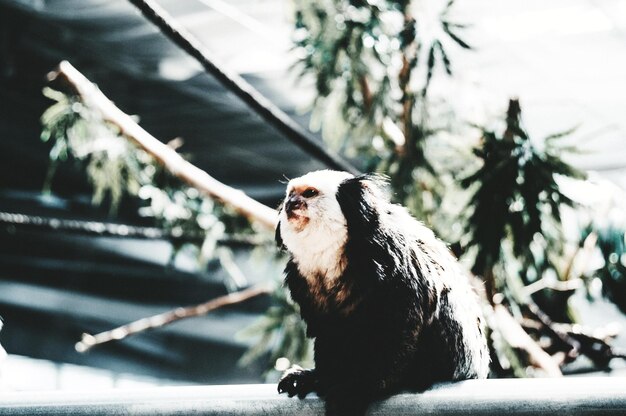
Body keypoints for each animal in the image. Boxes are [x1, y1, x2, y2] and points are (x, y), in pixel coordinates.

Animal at [274, 170, 488, 416]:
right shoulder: (300, 277)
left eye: (309, 193)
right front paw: (318, 377)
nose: (291, 204)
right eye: (290, 194)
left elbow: (400, 329)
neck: (332, 255)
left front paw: (358, 387)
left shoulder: (391, 256)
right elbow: (328, 330)